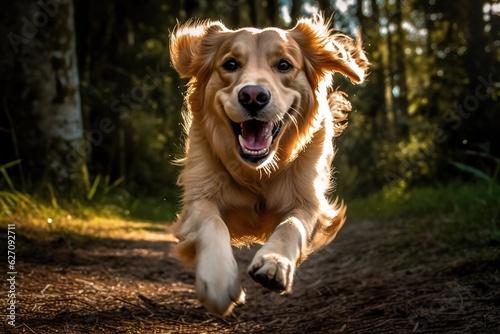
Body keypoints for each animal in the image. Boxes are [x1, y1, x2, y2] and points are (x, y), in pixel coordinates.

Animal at [168, 13, 368, 316]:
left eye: (284, 64)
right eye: (230, 64)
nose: (253, 95)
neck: (258, 173)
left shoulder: (309, 204)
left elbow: (291, 225)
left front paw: (274, 262)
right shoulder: (199, 199)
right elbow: (213, 223)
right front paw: (218, 278)